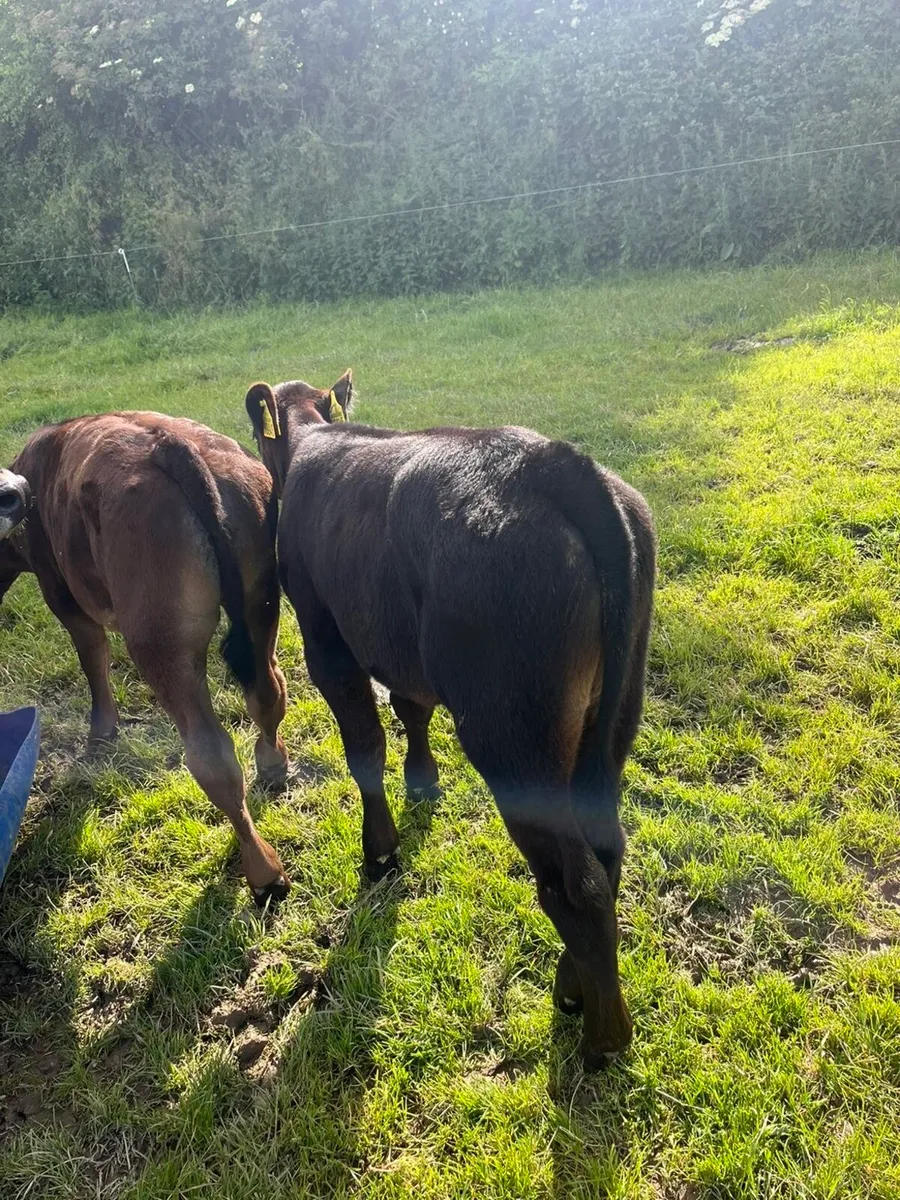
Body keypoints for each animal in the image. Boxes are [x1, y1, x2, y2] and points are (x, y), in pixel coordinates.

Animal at [0, 414, 291, 903]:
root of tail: (169, 443)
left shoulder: (63, 595)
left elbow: (93, 659)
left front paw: (102, 732)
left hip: (161, 641)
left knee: (212, 756)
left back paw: (262, 868)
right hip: (260, 603)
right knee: (268, 693)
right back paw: (272, 762)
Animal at [244, 371, 656, 1067]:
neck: (313, 441)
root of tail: (546, 460)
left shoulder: (327, 640)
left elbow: (364, 746)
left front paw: (380, 850)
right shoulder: (401, 653)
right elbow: (411, 709)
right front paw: (424, 782)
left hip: (513, 738)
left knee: (577, 884)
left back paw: (604, 1038)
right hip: (609, 722)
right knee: (606, 853)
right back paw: (573, 987)